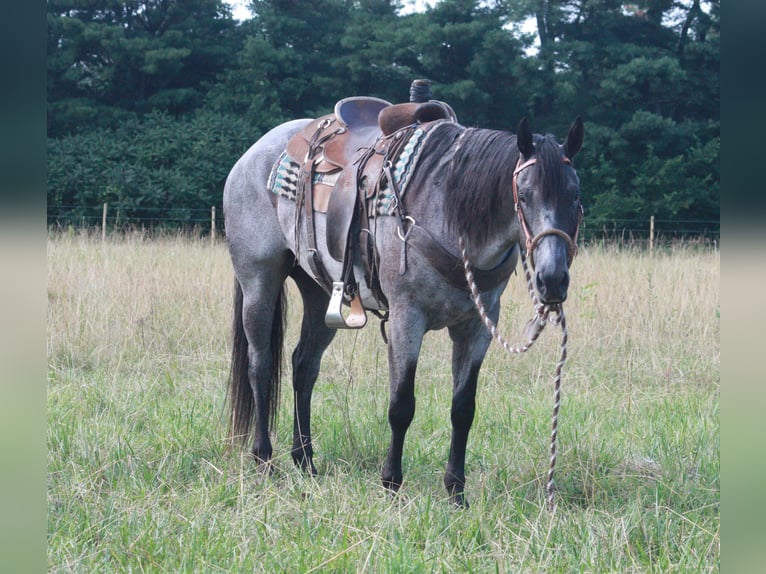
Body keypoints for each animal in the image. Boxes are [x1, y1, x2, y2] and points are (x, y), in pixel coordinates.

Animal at [225, 101, 584, 506]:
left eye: (574, 196)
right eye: (523, 196)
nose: (552, 279)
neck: (447, 210)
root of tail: (254, 153)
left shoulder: (477, 327)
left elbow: (463, 409)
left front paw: (456, 491)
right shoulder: (406, 319)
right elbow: (401, 406)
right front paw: (391, 483)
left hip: (319, 294)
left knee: (304, 367)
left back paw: (305, 461)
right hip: (259, 280)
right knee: (260, 366)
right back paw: (264, 459)